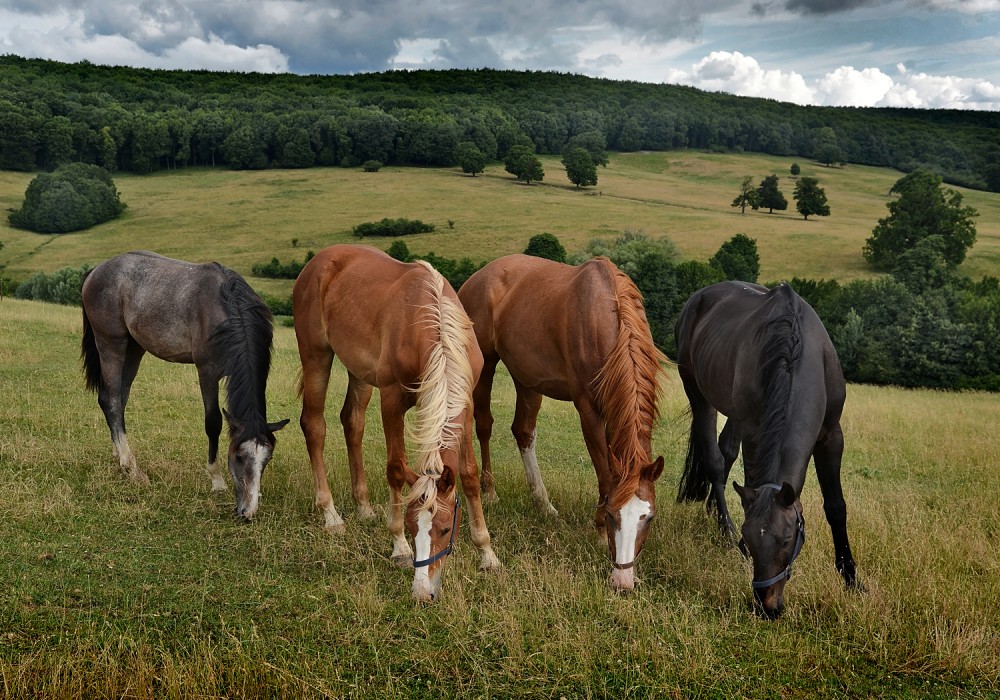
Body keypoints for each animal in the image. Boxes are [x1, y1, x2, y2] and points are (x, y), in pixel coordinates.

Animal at [81, 252, 290, 520]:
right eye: (239, 456)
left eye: (267, 459)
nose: (248, 512)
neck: (226, 311)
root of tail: (97, 269)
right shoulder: (207, 372)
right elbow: (213, 423)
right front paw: (216, 480)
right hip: (111, 344)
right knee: (112, 401)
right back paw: (131, 468)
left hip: (134, 348)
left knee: (118, 397)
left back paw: (119, 455)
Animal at [294, 245, 504, 600]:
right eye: (409, 524)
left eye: (445, 529)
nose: (422, 592)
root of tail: (320, 261)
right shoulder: (391, 400)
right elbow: (395, 468)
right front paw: (399, 548)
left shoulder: (464, 405)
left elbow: (470, 476)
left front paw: (487, 553)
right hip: (316, 357)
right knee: (314, 426)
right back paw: (331, 514)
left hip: (359, 373)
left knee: (352, 423)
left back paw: (364, 507)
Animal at [458, 254, 664, 588]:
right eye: (612, 515)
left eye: (649, 517)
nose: (623, 581)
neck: (603, 314)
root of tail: (479, 276)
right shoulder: (589, 411)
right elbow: (605, 475)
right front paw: (597, 533)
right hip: (485, 364)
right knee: (484, 425)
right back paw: (489, 491)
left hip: (527, 378)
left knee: (523, 432)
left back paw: (543, 503)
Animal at [672, 280, 860, 616]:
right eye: (749, 541)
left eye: (786, 540)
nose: (767, 607)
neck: (795, 352)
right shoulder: (754, 432)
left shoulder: (831, 435)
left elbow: (836, 507)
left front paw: (851, 579)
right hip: (698, 394)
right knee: (714, 460)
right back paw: (724, 527)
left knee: (725, 452)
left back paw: (713, 511)